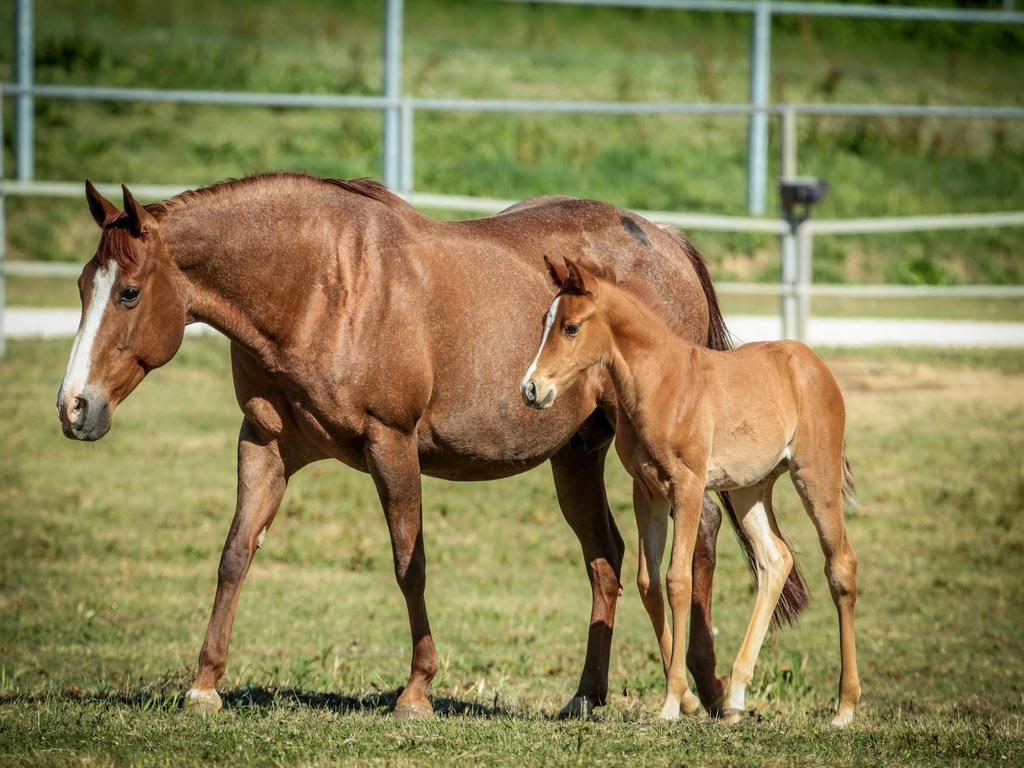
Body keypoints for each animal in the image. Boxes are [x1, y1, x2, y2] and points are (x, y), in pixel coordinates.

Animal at [58, 173, 798, 716]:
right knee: (605, 558)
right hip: (577, 455)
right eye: (83, 286)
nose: (74, 407)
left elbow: (408, 563)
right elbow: (235, 554)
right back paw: (588, 697)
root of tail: (667, 242)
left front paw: (416, 692)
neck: (321, 286)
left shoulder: (391, 444)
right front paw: (205, 685)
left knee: (698, 539)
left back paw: (707, 688)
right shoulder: (265, 443)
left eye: (129, 293)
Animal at [520, 257, 864, 729]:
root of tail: (812, 362)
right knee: (775, 560)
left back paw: (845, 707)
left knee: (840, 565)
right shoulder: (648, 490)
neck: (661, 382)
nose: (531, 389)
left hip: (815, 476)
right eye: (543, 322)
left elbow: (677, 580)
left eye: (571, 327)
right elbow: (648, 583)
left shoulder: (687, 486)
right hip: (749, 489)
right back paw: (735, 696)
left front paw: (670, 703)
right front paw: (684, 698)